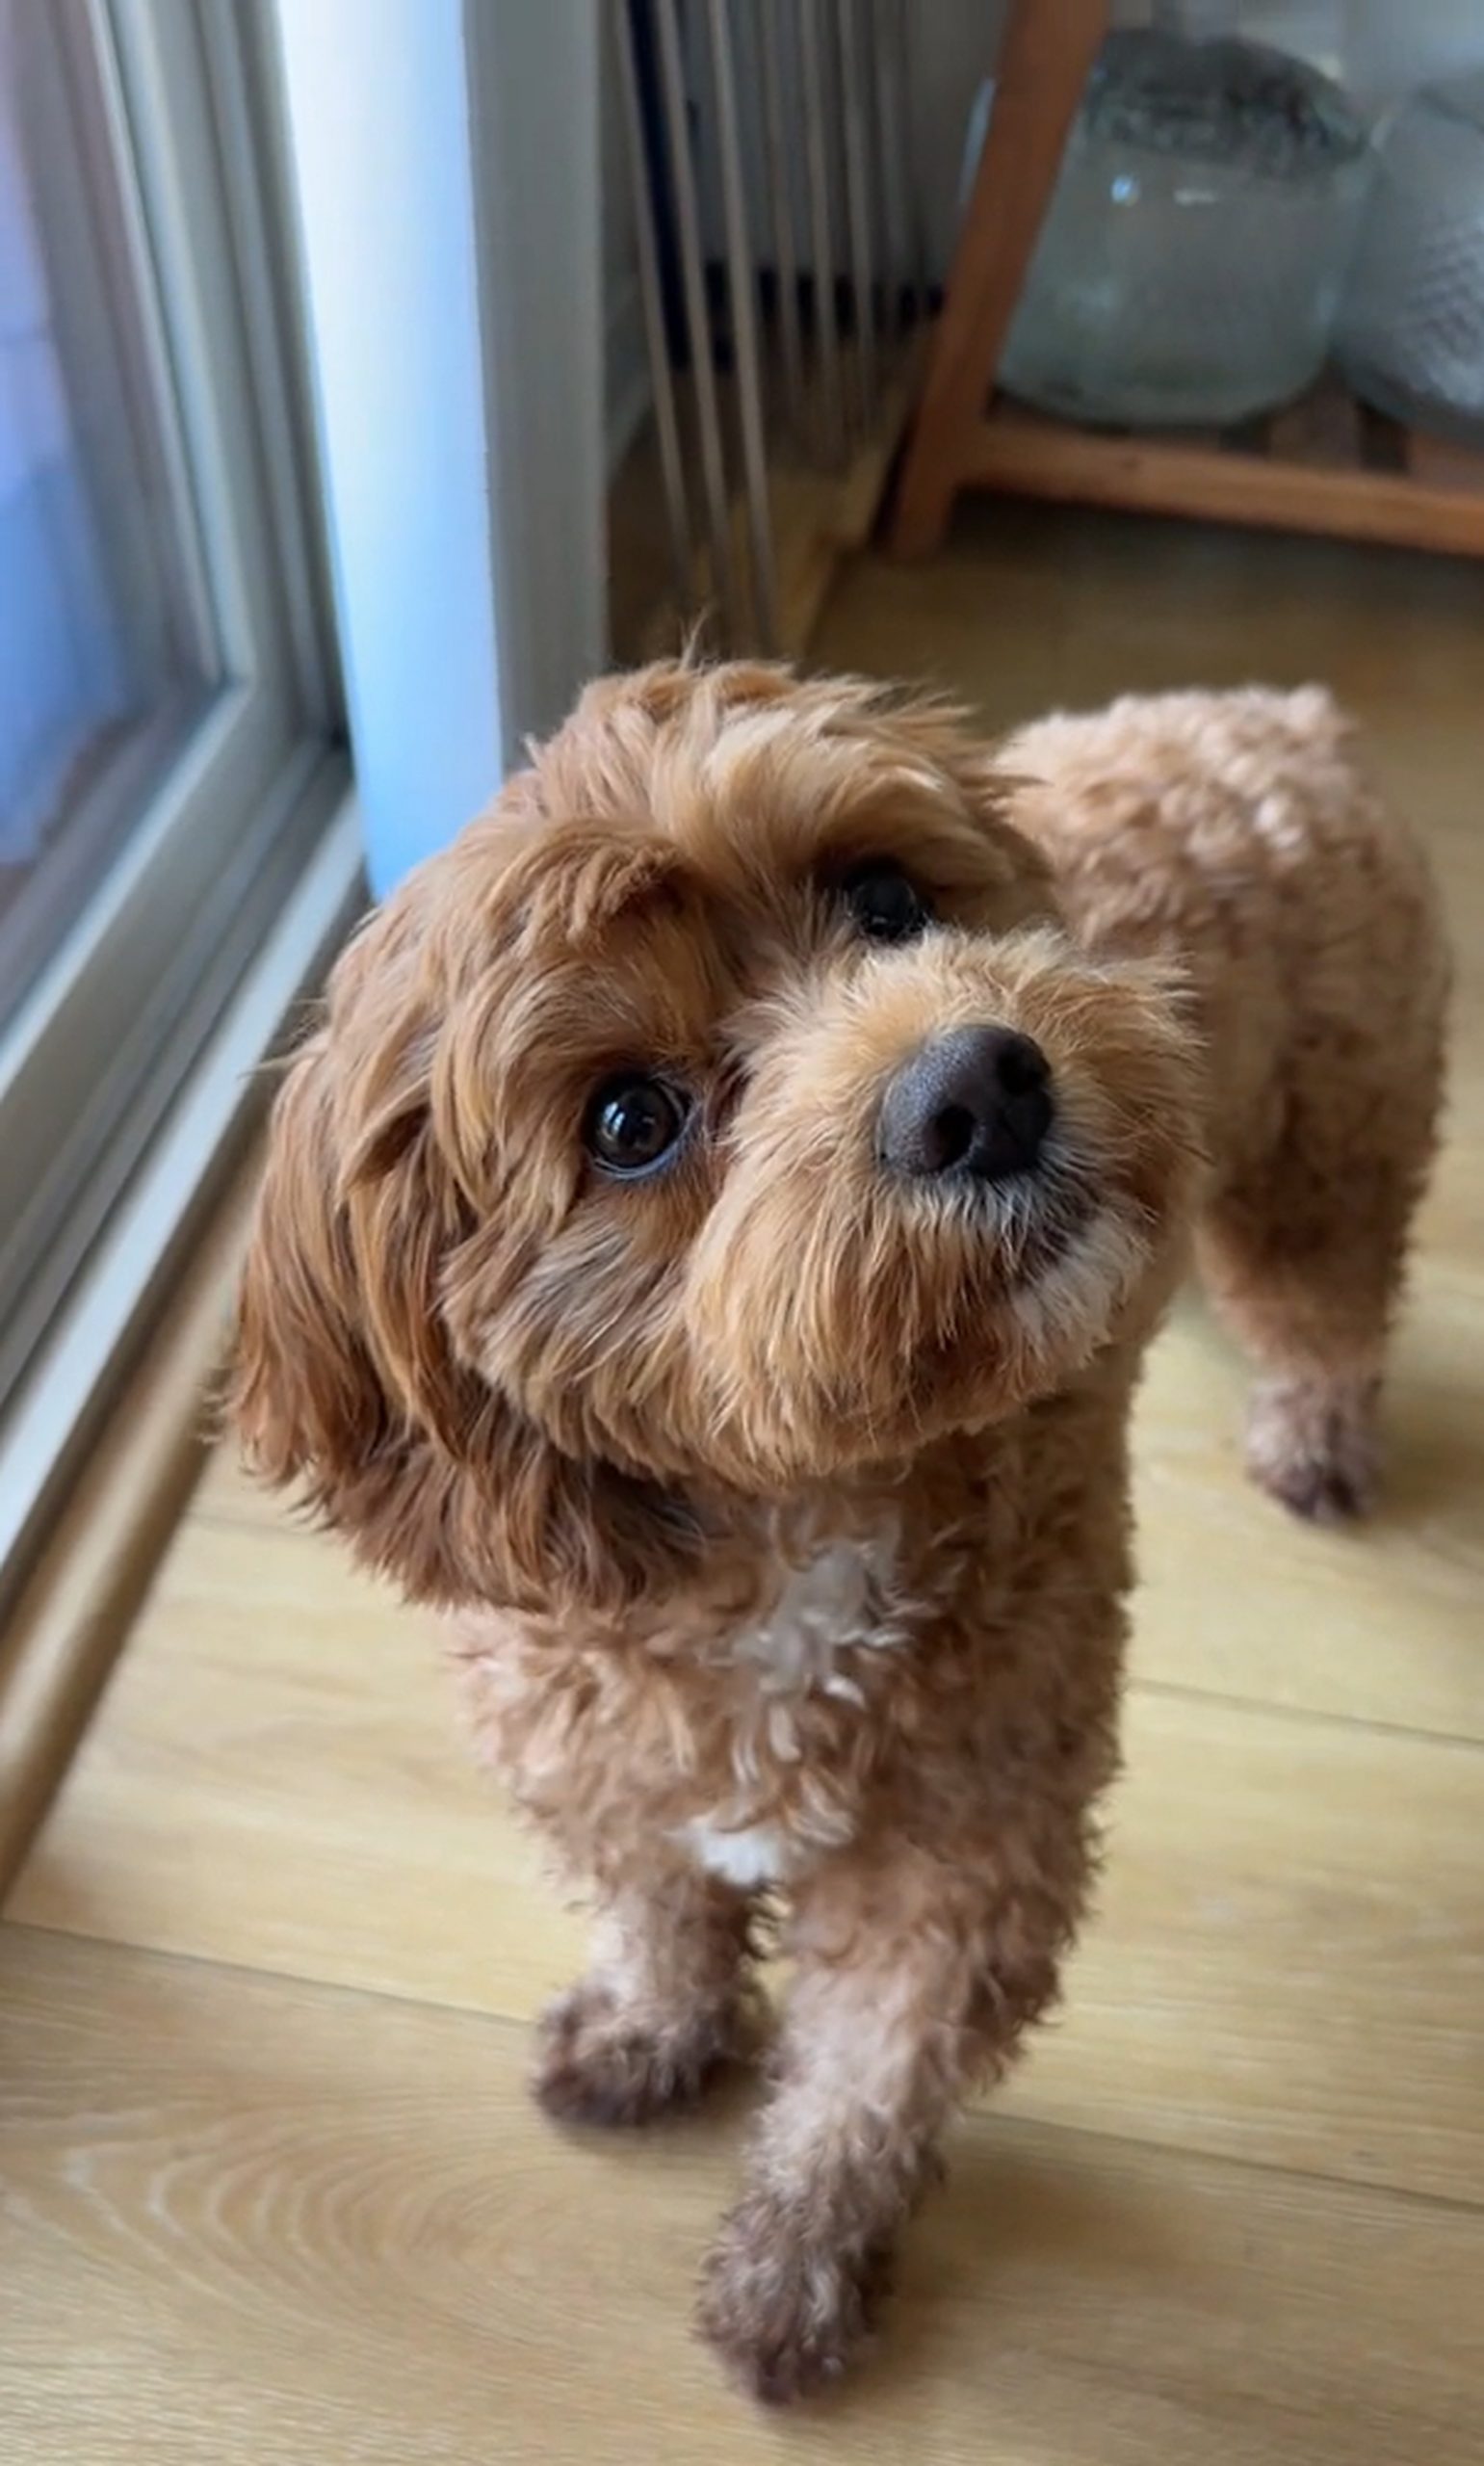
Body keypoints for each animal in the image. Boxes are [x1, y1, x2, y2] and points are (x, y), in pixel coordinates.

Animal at [236, 666, 1439, 2397]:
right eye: (631, 1118)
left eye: (883, 899)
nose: (978, 1084)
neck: (792, 1516)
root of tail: (1274, 717)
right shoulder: (593, 1759)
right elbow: (659, 1915)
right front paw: (648, 2031)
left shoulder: (962, 1850)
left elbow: (866, 2084)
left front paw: (793, 2270)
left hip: (1325, 1146)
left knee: (1328, 1306)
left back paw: (1315, 1432)